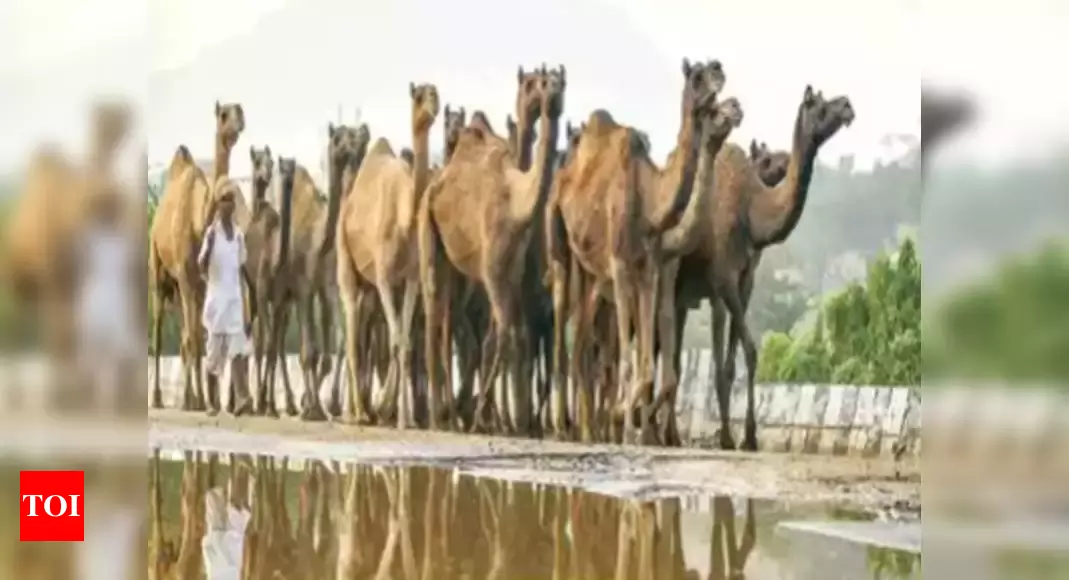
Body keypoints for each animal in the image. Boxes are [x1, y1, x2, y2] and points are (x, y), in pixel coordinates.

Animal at [149, 99, 244, 410]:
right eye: (224, 114)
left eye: (240, 111)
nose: (238, 122)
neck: (198, 220)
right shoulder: (187, 279)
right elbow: (193, 338)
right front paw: (199, 401)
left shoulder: (200, 285)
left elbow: (198, 340)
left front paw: (200, 400)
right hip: (159, 273)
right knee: (158, 330)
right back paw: (158, 397)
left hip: (180, 288)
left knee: (183, 336)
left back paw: (187, 397)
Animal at [337, 81, 438, 429]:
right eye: (419, 96)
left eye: (436, 93)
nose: (434, 105)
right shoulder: (383, 275)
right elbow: (395, 338)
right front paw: (396, 415)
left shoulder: (410, 279)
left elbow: (403, 341)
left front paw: (397, 415)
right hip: (347, 265)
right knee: (350, 336)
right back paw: (353, 413)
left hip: (369, 287)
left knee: (361, 336)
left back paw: (366, 410)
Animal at [419, 65, 568, 433]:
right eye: (537, 83)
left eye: (561, 82)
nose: (554, 93)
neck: (517, 204)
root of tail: (434, 184)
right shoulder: (493, 271)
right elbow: (503, 337)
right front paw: (483, 419)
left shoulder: (511, 275)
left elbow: (509, 338)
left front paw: (503, 420)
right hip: (427, 230)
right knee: (433, 316)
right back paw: (438, 416)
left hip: (456, 267)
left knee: (448, 322)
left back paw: (450, 414)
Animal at [547, 57, 731, 444]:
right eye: (696, 76)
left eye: (713, 69)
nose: (719, 71)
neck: (650, 204)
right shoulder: (620, 265)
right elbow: (632, 358)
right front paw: (627, 421)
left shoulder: (648, 269)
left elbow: (649, 366)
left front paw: (629, 420)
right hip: (560, 245)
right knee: (564, 330)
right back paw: (562, 426)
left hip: (590, 272)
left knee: (582, 342)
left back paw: (586, 429)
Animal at [671, 86, 855, 450]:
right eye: (817, 104)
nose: (847, 106)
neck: (752, 215)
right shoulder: (722, 281)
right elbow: (744, 353)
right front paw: (732, 437)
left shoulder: (744, 282)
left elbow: (735, 361)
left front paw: (747, 436)